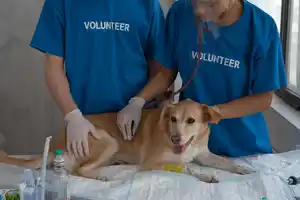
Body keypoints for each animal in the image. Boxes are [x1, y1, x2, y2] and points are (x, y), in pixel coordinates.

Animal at [0, 100, 253, 183]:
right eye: (172, 119)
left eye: (191, 120)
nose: (175, 138)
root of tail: (55, 145)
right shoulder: (152, 162)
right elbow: (187, 167)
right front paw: (206, 176)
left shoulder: (203, 153)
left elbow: (223, 161)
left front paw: (241, 168)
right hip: (108, 140)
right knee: (80, 169)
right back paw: (103, 176)